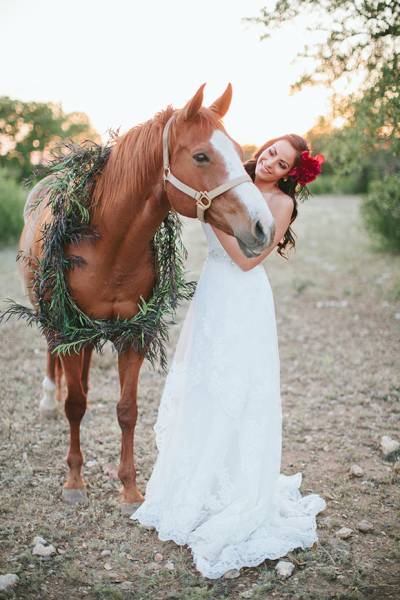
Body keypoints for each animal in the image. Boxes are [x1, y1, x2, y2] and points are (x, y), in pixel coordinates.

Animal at [18, 82, 276, 512]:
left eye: (240, 152)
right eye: (202, 156)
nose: (264, 227)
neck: (107, 241)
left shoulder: (134, 333)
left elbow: (127, 410)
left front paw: (130, 489)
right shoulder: (71, 330)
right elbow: (76, 406)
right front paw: (74, 481)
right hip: (55, 323)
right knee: (54, 359)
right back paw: (47, 400)